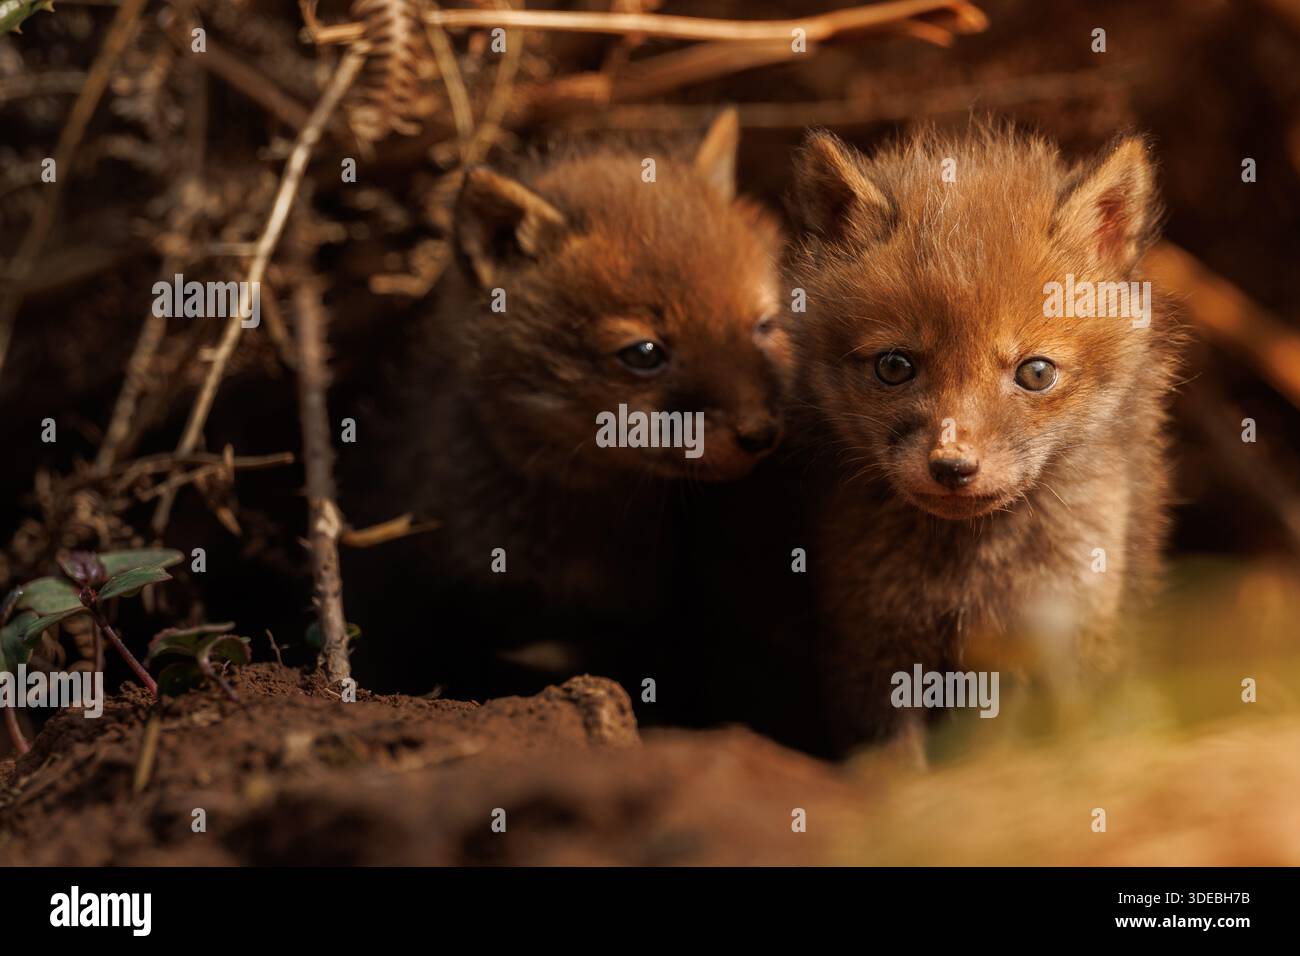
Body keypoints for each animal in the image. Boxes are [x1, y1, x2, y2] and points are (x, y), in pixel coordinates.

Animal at [782, 124, 1182, 755]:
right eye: (894, 366)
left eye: (1036, 373)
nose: (952, 467)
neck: (972, 566)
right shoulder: (872, 640)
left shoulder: (1067, 633)